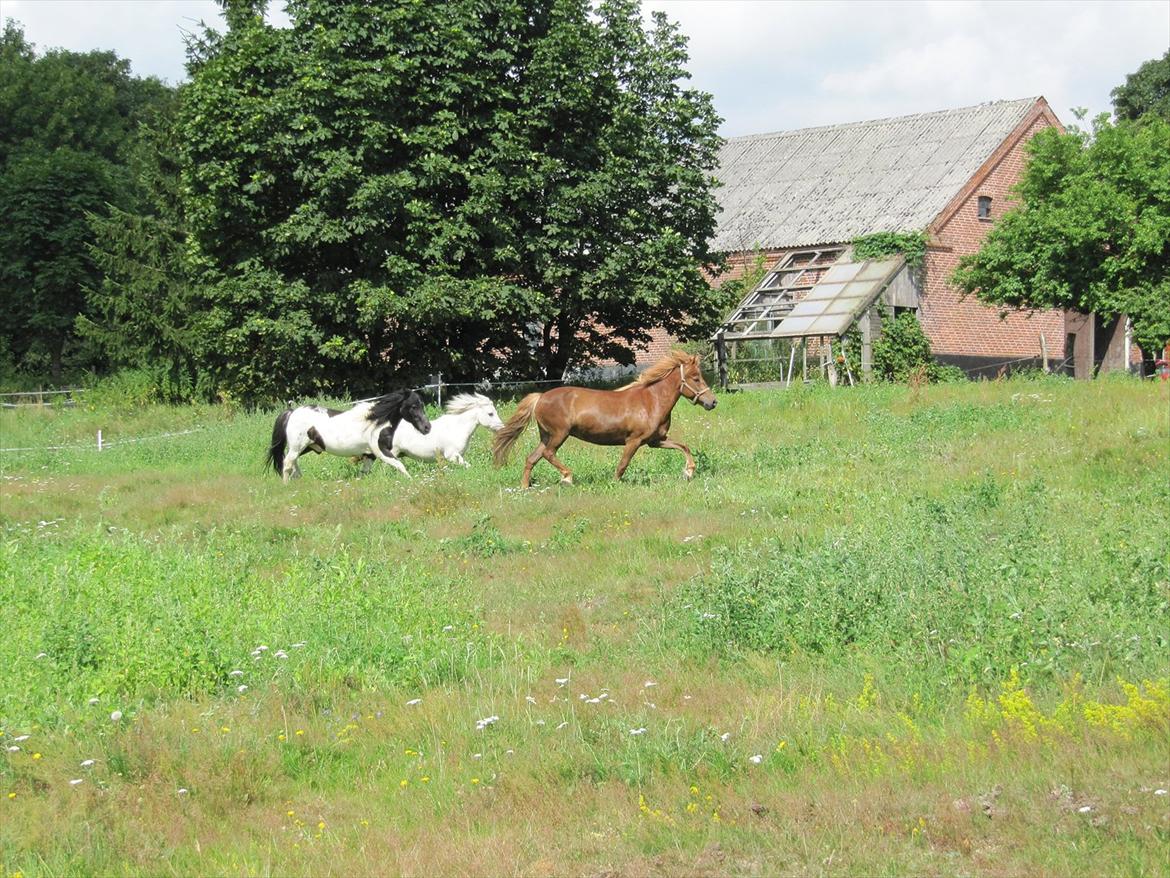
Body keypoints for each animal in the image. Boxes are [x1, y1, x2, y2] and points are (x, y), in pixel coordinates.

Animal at [265, 391, 430, 484]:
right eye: (413, 406)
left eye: (421, 405)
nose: (427, 428)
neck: (376, 422)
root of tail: (292, 412)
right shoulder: (380, 451)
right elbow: (400, 465)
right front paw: (412, 482)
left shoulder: (370, 455)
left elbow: (364, 473)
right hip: (298, 446)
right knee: (287, 463)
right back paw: (286, 484)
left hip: (308, 447)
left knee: (292, 461)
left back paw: (298, 477)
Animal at [491, 351, 716, 489]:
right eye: (696, 378)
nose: (712, 402)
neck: (651, 401)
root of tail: (540, 397)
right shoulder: (633, 441)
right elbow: (622, 465)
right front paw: (614, 484)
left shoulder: (655, 441)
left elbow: (683, 446)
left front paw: (689, 472)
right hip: (559, 434)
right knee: (548, 454)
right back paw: (567, 477)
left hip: (546, 435)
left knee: (532, 458)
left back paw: (525, 487)